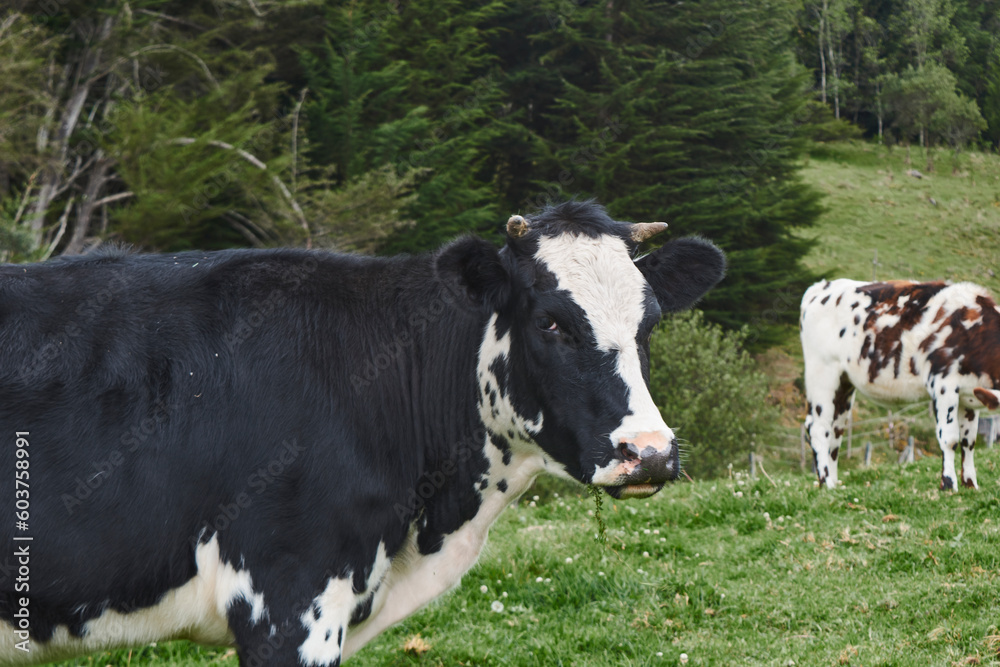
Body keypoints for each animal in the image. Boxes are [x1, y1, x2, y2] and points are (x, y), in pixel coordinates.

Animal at [800, 278, 1000, 490]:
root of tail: (821, 286)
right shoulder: (943, 384)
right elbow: (950, 438)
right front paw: (948, 484)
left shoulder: (969, 394)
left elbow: (968, 440)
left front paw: (970, 484)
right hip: (822, 373)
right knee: (818, 427)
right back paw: (826, 483)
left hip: (843, 384)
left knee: (836, 430)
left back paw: (835, 483)